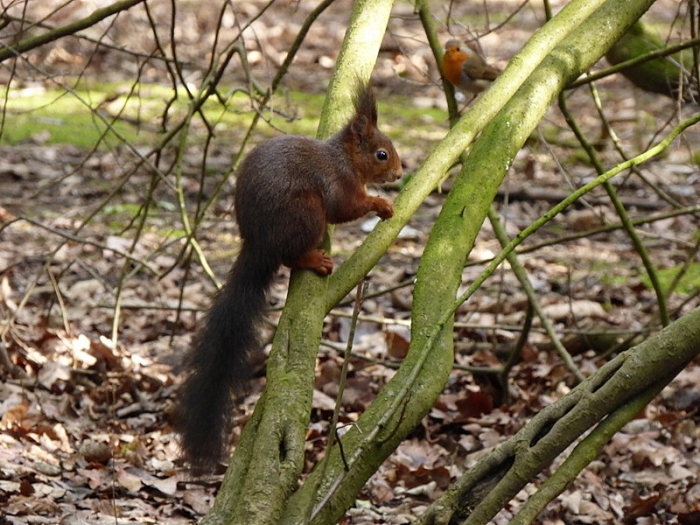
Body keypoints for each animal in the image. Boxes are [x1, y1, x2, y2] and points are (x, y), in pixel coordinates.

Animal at [174, 82, 403, 476]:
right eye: (381, 154)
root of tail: (257, 243)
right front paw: (380, 205)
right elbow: (346, 208)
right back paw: (314, 258)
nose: (401, 174)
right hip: (304, 211)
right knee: (290, 253)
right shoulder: (339, 184)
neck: (344, 159)